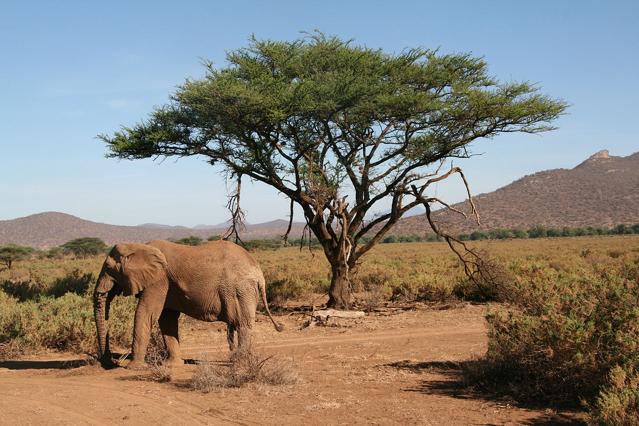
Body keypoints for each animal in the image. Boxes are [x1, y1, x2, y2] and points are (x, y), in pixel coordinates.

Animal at [92, 240, 282, 370]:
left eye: (108, 268)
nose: (109, 361)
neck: (139, 247)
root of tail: (259, 273)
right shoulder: (166, 285)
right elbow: (166, 319)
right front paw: (172, 365)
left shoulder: (159, 281)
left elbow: (146, 313)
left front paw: (134, 367)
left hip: (240, 289)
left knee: (243, 324)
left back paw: (240, 364)